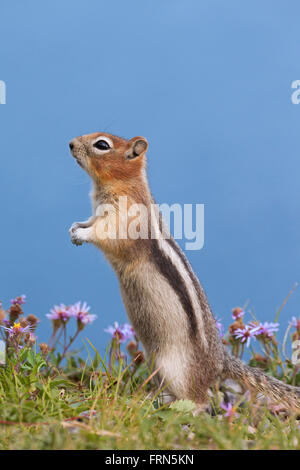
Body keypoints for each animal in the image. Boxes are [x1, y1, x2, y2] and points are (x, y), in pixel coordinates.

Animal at [69, 131, 300, 408]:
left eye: (102, 145)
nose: (70, 144)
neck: (122, 184)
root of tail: (220, 362)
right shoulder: (98, 212)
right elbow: (90, 221)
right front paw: (75, 227)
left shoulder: (123, 219)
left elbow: (105, 234)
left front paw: (83, 233)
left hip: (176, 370)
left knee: (199, 399)